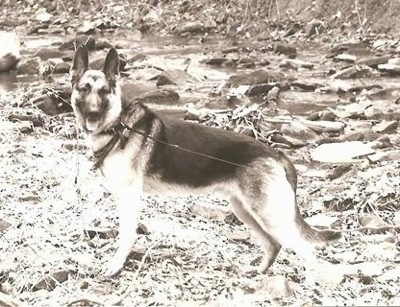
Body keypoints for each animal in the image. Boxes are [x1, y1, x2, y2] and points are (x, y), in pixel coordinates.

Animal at [69, 46, 340, 280]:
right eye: (84, 89)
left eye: (103, 91)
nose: (92, 113)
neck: (118, 124)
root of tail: (277, 154)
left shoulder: (129, 197)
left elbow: (125, 235)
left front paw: (116, 265)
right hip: (246, 211)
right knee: (274, 245)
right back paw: (256, 274)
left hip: (269, 215)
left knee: (306, 251)